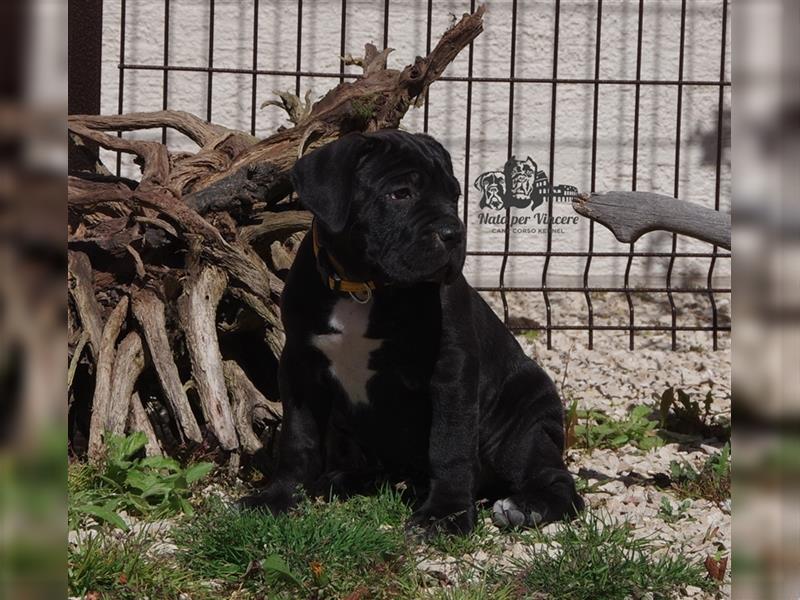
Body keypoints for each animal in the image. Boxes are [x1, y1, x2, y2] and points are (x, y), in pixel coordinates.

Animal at [241, 130, 584, 536]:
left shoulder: (451, 372)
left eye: (453, 195)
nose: (454, 233)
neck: (363, 286)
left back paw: (524, 507)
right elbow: (298, 437)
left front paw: (445, 514)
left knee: (557, 482)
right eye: (400, 194)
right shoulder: (300, 366)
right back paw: (342, 479)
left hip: (519, 428)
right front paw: (279, 496)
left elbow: (450, 447)